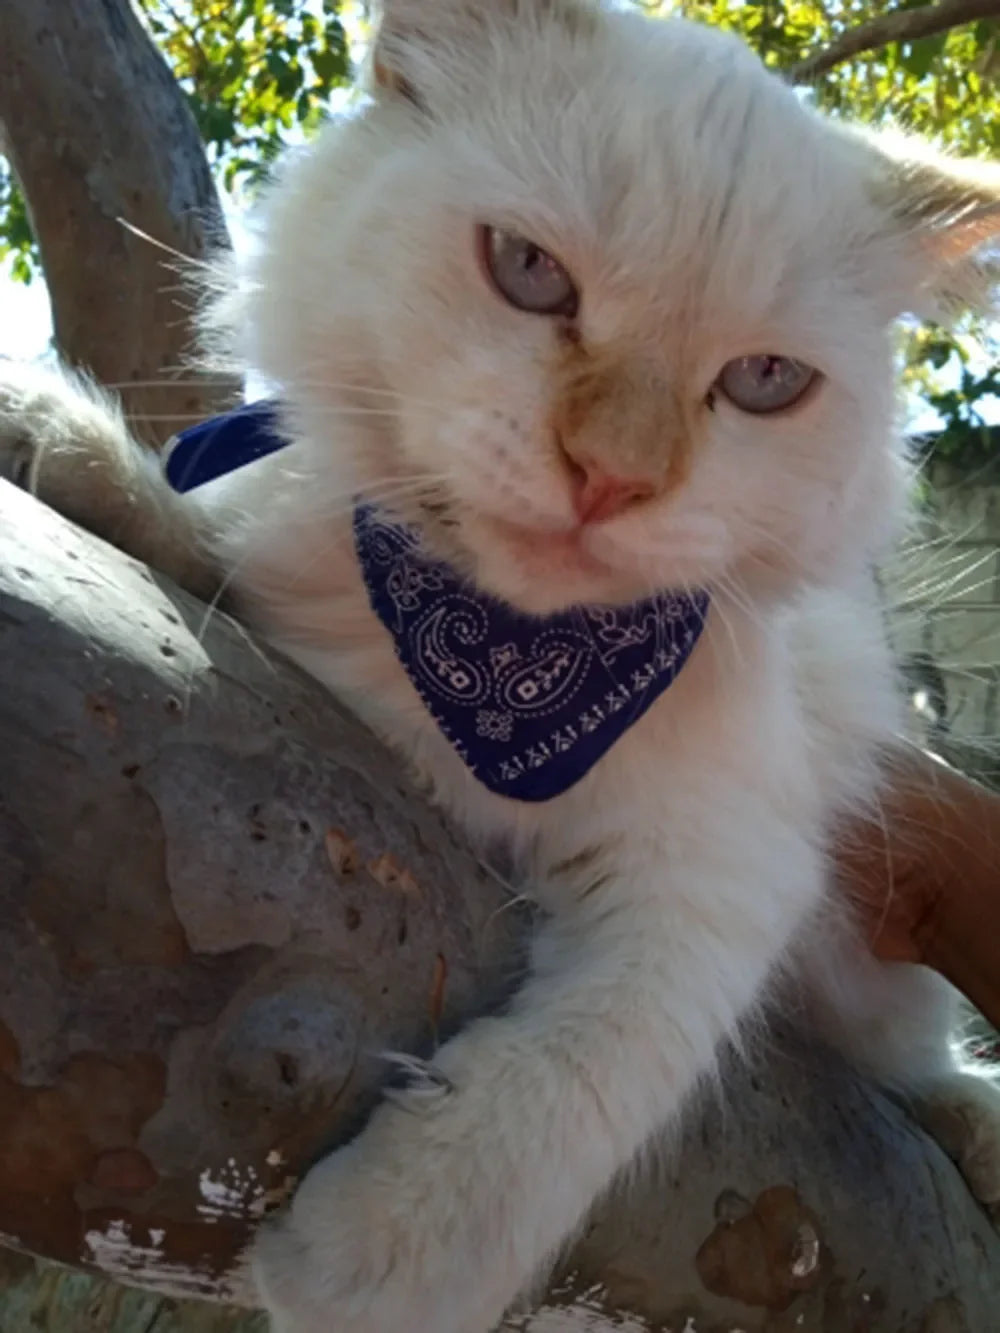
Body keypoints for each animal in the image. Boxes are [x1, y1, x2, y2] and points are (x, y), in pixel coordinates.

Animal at [1, 2, 1000, 1333]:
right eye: (529, 272)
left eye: (763, 384)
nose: (610, 475)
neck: (498, 659)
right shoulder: (287, 624)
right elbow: (192, 530)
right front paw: (55, 441)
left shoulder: (719, 868)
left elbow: (581, 1069)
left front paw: (378, 1260)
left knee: (918, 1061)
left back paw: (977, 1126)